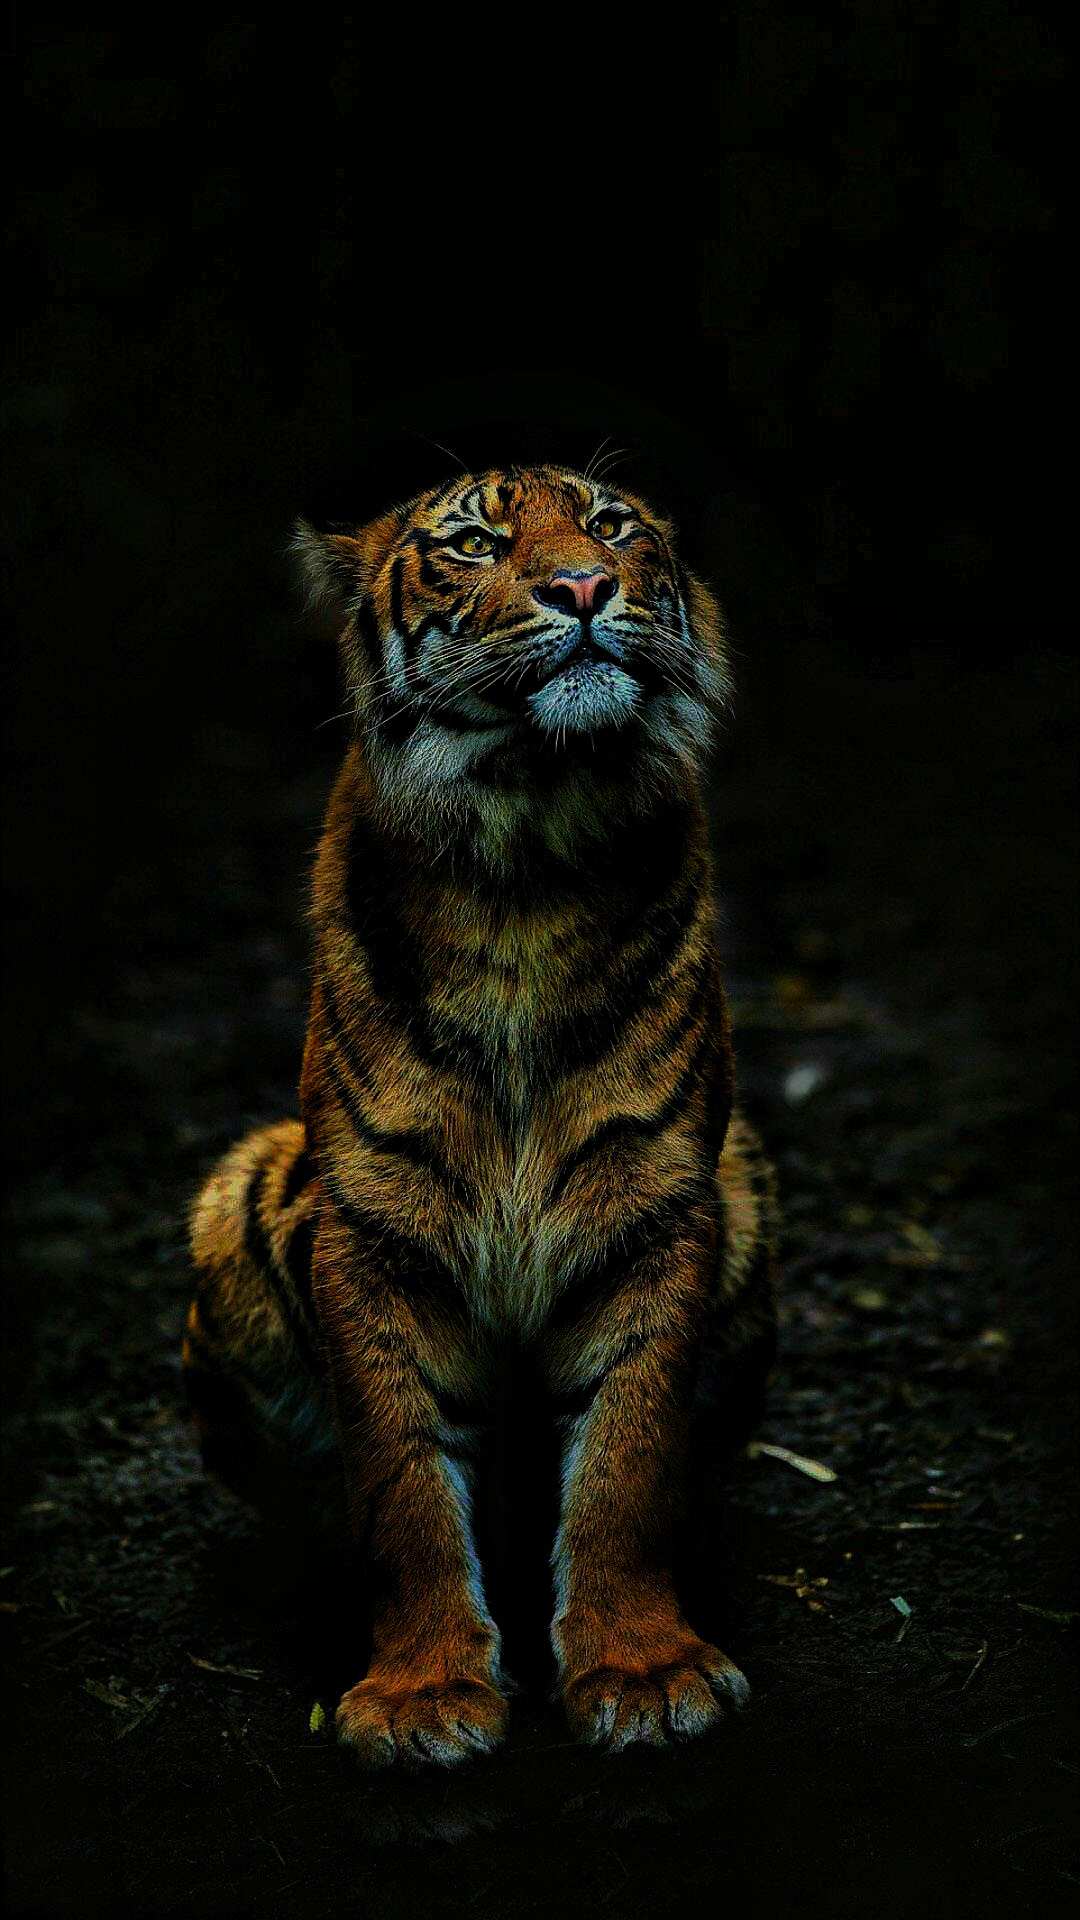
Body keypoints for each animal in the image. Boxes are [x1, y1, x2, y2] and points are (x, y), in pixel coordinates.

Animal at [183, 462, 779, 1767]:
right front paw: (421, 1695)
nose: (586, 586)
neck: (529, 853)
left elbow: (625, 1462)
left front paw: (642, 1671)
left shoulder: (660, 1204)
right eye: (471, 543)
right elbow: (403, 1479)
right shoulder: (373, 1225)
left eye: (611, 525)